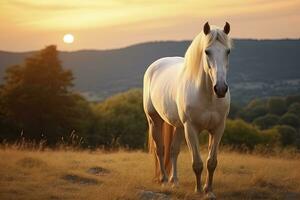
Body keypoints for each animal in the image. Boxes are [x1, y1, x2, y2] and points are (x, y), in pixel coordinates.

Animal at [143, 21, 232, 198]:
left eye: (228, 51)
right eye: (207, 51)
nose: (220, 89)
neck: (207, 96)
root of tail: (154, 67)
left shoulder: (218, 128)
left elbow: (211, 162)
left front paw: (209, 190)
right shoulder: (191, 129)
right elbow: (197, 163)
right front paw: (198, 190)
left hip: (178, 126)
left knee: (173, 151)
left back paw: (174, 181)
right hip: (154, 121)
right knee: (160, 149)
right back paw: (164, 179)